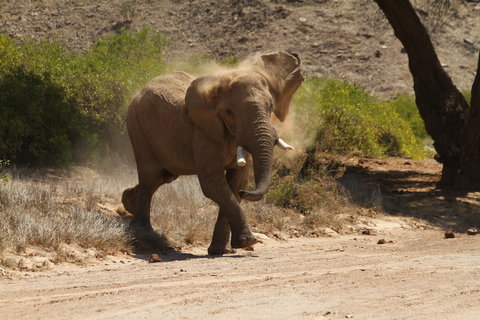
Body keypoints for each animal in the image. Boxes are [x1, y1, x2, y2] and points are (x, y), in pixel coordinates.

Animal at [124, 52, 304, 255]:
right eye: (229, 112)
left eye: (270, 107)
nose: (246, 193)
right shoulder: (202, 131)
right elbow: (212, 183)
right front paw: (248, 242)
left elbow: (235, 182)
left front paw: (222, 250)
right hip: (136, 126)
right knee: (150, 176)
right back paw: (146, 236)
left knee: (161, 177)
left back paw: (128, 203)